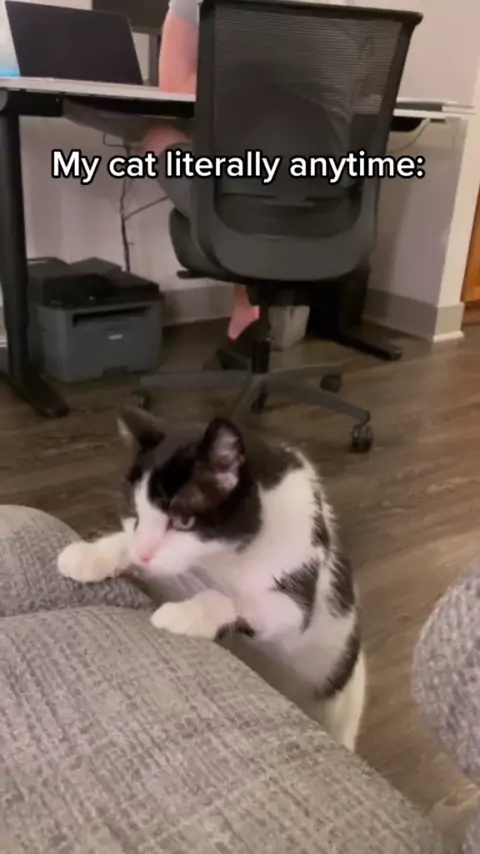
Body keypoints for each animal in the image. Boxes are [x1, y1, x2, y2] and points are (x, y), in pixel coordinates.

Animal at [58, 406, 366, 750]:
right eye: (135, 515)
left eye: (183, 520)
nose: (144, 555)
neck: (228, 556)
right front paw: (90, 555)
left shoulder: (297, 587)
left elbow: (237, 600)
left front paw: (185, 613)